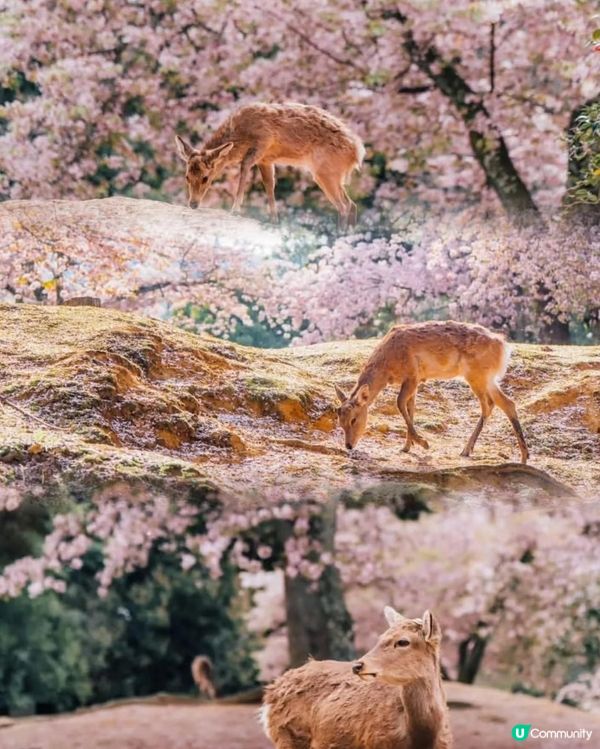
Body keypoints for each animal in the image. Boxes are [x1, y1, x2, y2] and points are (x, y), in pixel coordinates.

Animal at [175, 102, 365, 229]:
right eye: (187, 177)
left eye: (205, 178)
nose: (193, 204)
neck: (240, 135)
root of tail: (357, 153)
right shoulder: (266, 160)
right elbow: (269, 185)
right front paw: (274, 220)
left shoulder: (264, 141)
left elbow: (244, 167)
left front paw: (235, 209)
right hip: (333, 175)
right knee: (352, 204)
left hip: (324, 172)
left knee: (344, 206)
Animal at [260, 607, 452, 749]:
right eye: (380, 637)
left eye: (403, 641)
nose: (358, 665)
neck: (421, 740)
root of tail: (270, 692)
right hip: (288, 735)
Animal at [334, 320, 529, 463]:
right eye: (340, 421)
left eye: (354, 419)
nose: (349, 445)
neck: (388, 367)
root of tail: (504, 347)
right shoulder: (414, 381)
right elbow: (410, 408)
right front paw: (407, 446)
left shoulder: (412, 376)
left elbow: (399, 403)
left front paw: (423, 443)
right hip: (487, 379)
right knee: (507, 403)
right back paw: (522, 456)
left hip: (477, 375)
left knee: (489, 405)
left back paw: (468, 450)